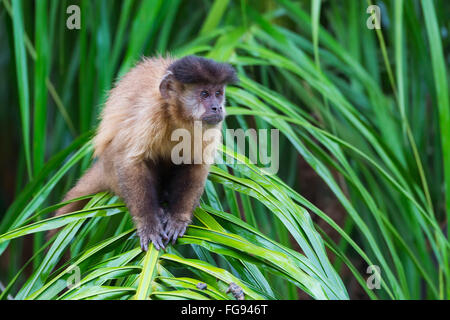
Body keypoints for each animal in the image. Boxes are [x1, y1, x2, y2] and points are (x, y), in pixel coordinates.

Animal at [51, 55, 237, 250]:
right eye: (204, 94)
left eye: (218, 93)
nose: (217, 107)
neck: (177, 117)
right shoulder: (151, 111)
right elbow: (130, 161)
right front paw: (148, 225)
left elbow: (196, 163)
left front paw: (178, 218)